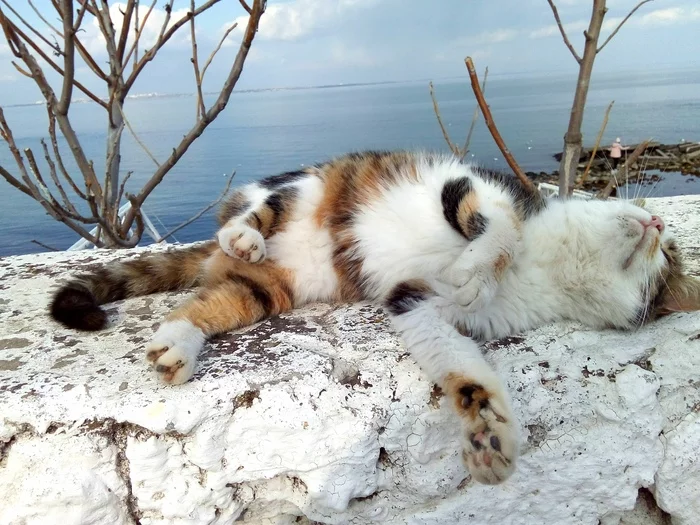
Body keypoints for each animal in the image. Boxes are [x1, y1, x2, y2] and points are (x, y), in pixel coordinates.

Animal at [49, 150, 700, 484]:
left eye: (667, 260)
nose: (657, 223)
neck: (548, 263)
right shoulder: (474, 187)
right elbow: (497, 228)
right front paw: (475, 267)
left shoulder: (418, 307)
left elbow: (459, 361)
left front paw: (487, 430)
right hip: (308, 185)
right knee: (259, 202)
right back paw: (243, 234)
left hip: (273, 290)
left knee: (216, 302)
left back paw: (178, 344)